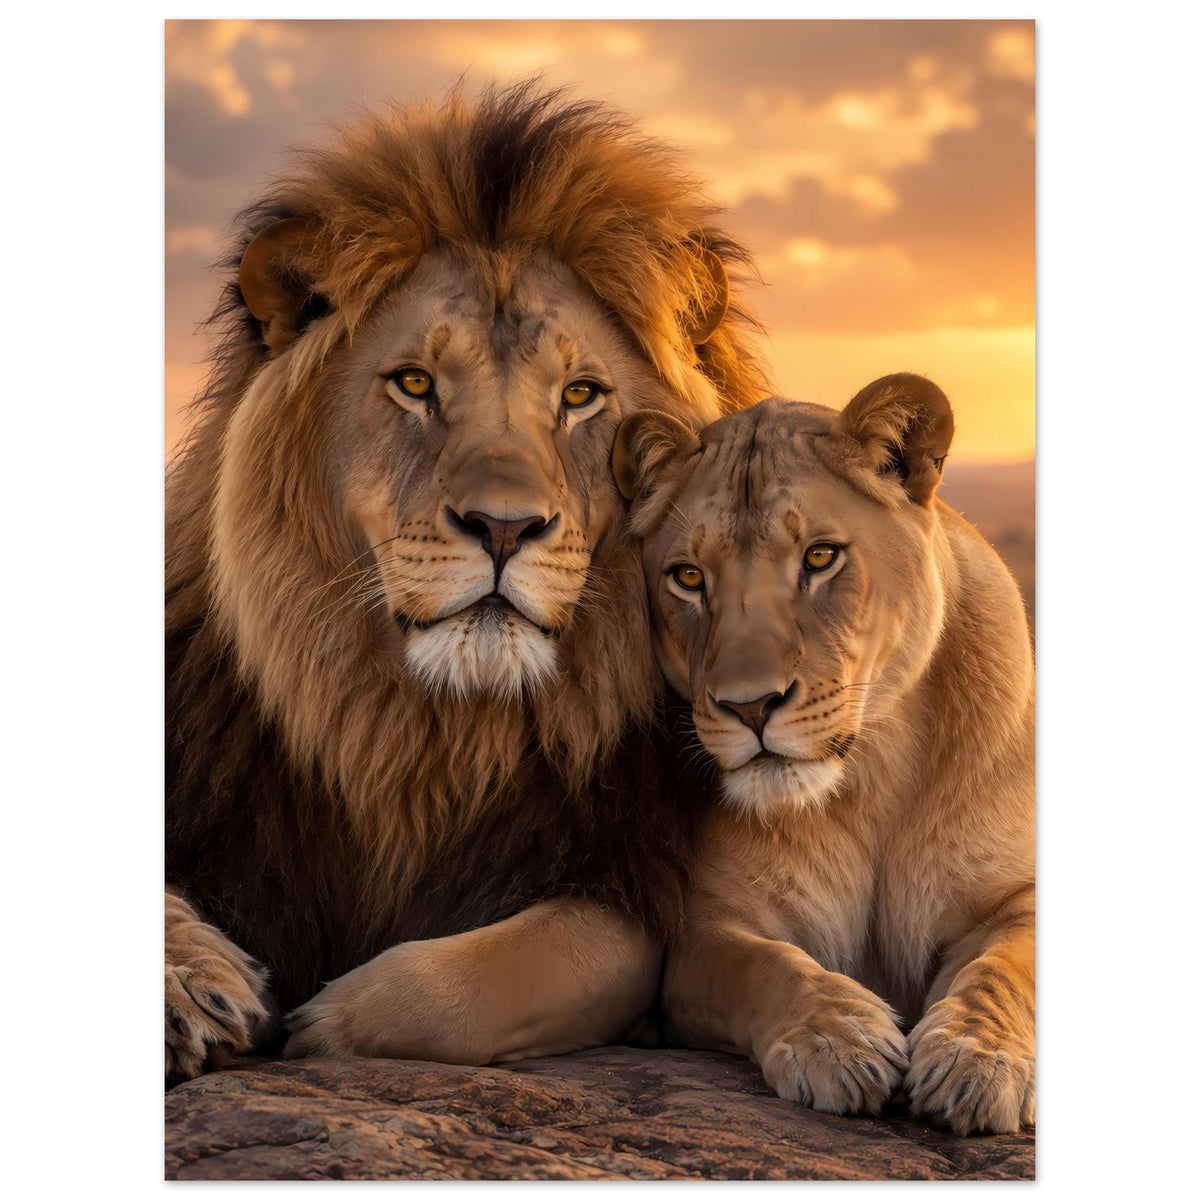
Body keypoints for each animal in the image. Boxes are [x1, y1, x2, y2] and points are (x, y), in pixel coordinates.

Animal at [164, 83, 769, 1083]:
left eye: (580, 396)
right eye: (414, 384)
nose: (504, 527)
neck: (423, 740)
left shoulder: (625, 879)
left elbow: (488, 977)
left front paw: (320, 1021)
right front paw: (195, 989)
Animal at [612, 375, 1035, 1135]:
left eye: (819, 557)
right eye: (687, 577)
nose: (749, 706)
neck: (873, 776)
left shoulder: (1016, 894)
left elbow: (1005, 966)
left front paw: (977, 1058)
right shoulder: (702, 933)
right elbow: (765, 967)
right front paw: (840, 1040)